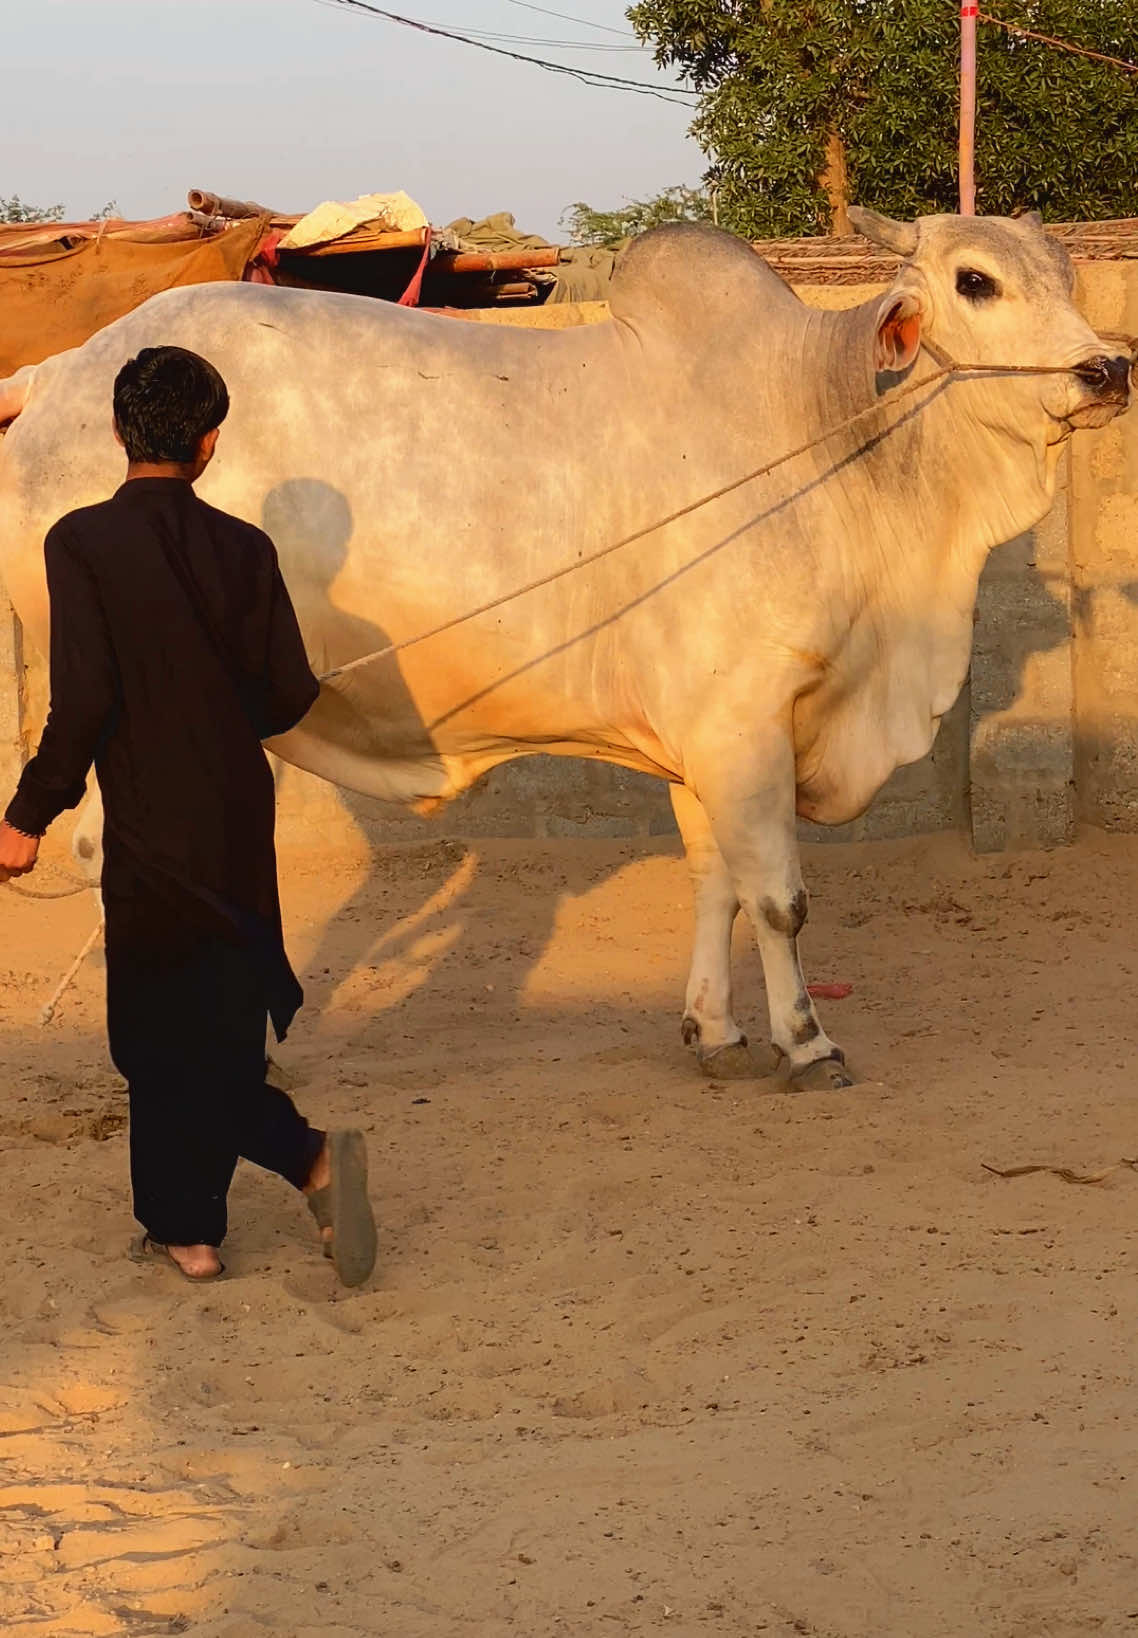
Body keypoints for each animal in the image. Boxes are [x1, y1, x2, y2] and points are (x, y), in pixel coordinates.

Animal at [0, 209, 1130, 1088]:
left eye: (1063, 274)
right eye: (974, 280)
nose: (1106, 369)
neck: (829, 428)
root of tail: (59, 376)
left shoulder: (699, 737)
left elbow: (716, 883)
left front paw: (713, 1031)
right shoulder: (744, 720)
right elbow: (777, 896)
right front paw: (807, 1043)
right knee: (112, 853)